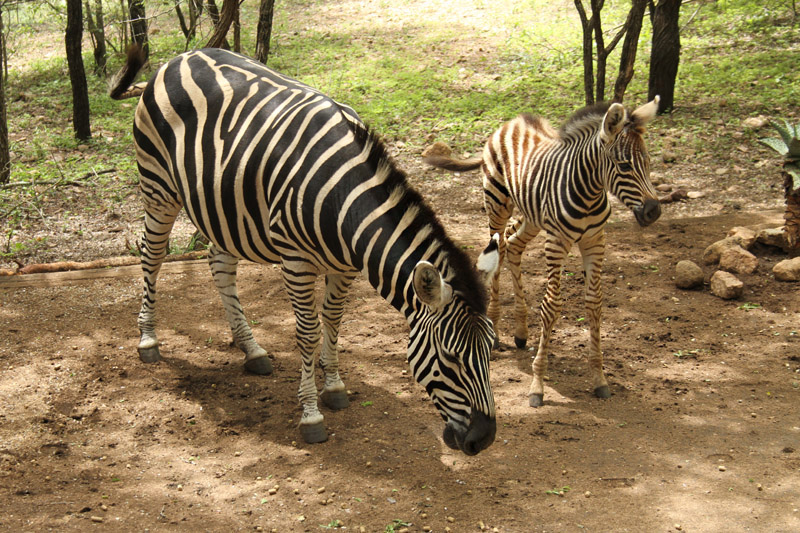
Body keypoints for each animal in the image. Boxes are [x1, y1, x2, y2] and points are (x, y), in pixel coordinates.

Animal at [108, 45, 500, 454]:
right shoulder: (295, 262)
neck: (345, 203)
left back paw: (251, 348)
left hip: (223, 206)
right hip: (158, 187)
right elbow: (308, 332)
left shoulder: (344, 267)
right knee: (151, 255)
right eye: (450, 359)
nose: (485, 438)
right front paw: (311, 414)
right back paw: (148, 339)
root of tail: (180, 57)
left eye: (493, 350)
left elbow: (334, 320)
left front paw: (335, 385)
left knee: (219, 264)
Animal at [424, 98, 664, 408]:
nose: (654, 211)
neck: (590, 191)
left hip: (533, 216)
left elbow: (595, 303)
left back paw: (521, 332)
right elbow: (552, 306)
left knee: (513, 243)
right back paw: (496, 329)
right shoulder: (557, 242)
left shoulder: (595, 241)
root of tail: (512, 121)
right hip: (497, 203)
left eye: (647, 162)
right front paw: (537, 384)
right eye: (623, 165)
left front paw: (599, 378)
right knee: (499, 249)